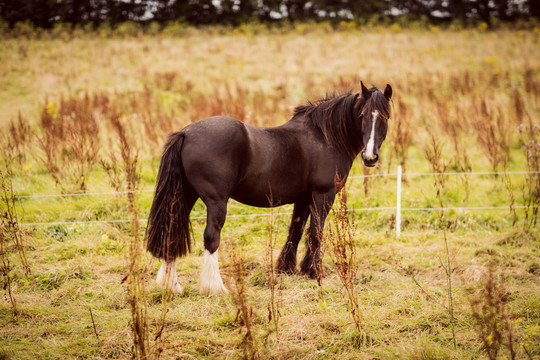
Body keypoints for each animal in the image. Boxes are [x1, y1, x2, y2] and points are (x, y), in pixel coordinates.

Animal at [147, 81, 392, 296]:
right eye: (363, 116)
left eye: (384, 117)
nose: (370, 157)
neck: (325, 137)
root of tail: (186, 133)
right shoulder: (323, 195)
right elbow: (316, 233)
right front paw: (314, 271)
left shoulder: (303, 198)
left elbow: (296, 230)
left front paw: (287, 268)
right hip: (216, 201)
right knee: (211, 237)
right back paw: (215, 288)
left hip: (184, 195)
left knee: (171, 232)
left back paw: (171, 286)